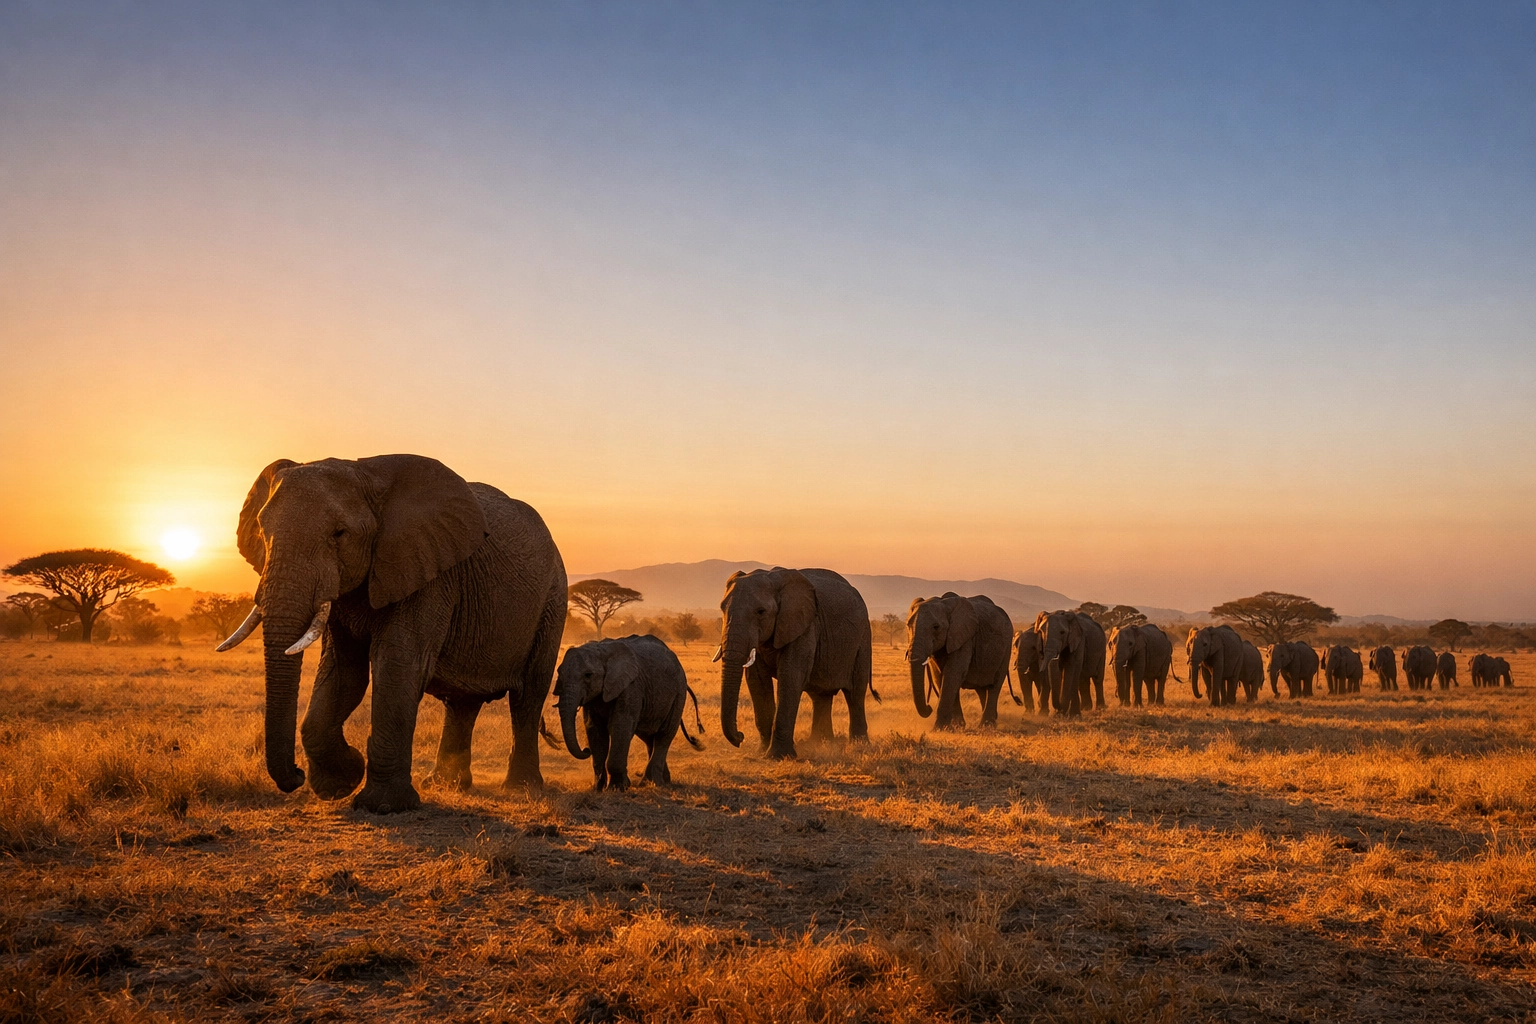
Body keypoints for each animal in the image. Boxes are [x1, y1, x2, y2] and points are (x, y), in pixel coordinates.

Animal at [217, 455, 567, 813]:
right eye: (262, 532)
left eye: (339, 534)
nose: (296, 776)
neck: (368, 475)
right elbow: (344, 673)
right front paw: (341, 782)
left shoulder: (426, 571)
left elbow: (398, 666)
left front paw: (382, 806)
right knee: (462, 703)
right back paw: (445, 785)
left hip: (553, 598)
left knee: (528, 695)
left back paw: (521, 789)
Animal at [554, 635, 703, 790]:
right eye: (559, 674)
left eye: (588, 675)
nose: (586, 750)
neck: (601, 651)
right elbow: (594, 729)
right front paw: (598, 788)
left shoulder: (631, 687)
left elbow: (620, 726)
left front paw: (618, 788)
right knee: (649, 737)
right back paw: (662, 781)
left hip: (678, 693)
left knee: (664, 734)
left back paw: (653, 783)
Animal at [714, 567, 875, 758]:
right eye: (722, 609)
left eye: (761, 611)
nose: (740, 736)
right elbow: (757, 681)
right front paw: (761, 752)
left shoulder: (804, 627)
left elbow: (791, 676)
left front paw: (777, 756)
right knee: (820, 695)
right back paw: (822, 744)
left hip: (862, 639)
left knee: (855, 693)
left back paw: (859, 746)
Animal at [906, 593, 1019, 729]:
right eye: (908, 625)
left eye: (936, 627)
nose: (929, 708)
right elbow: (939, 676)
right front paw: (956, 727)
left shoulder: (964, 639)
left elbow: (952, 674)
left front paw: (939, 728)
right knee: (981, 688)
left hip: (1006, 648)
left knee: (994, 685)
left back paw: (986, 726)